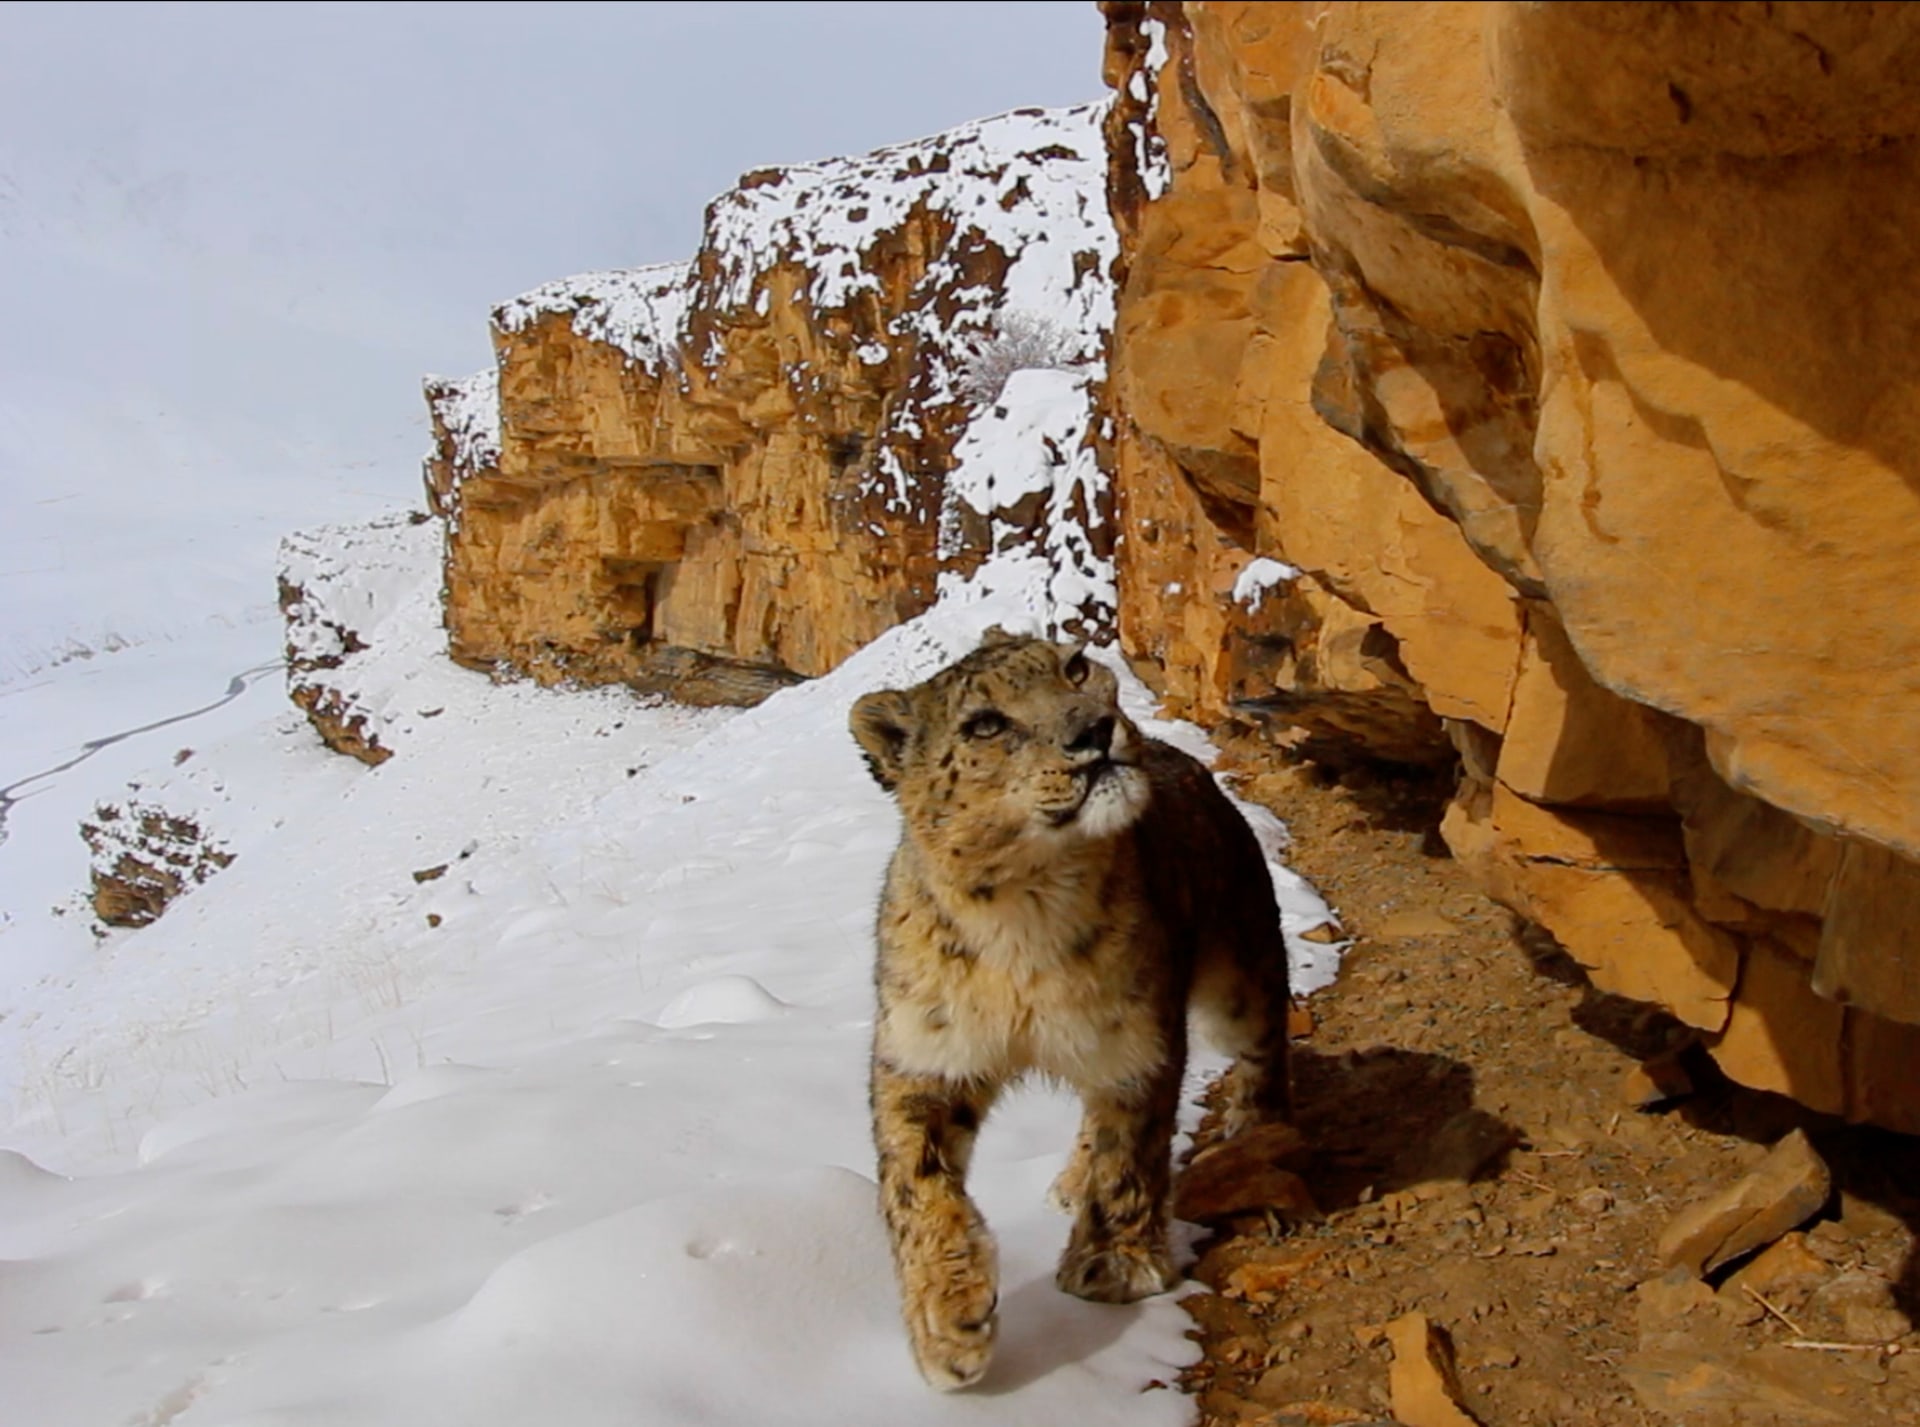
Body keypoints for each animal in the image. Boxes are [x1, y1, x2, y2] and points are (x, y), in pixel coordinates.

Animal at [849, 629, 1293, 1391]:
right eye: (984, 724)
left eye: (1075, 666)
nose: (1093, 728)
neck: (1021, 918)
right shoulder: (925, 1053)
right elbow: (915, 1183)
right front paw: (948, 1325)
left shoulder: (1134, 1041)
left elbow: (1129, 1151)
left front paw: (1111, 1266)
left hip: (1240, 972)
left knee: (1266, 1038)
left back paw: (1251, 1133)